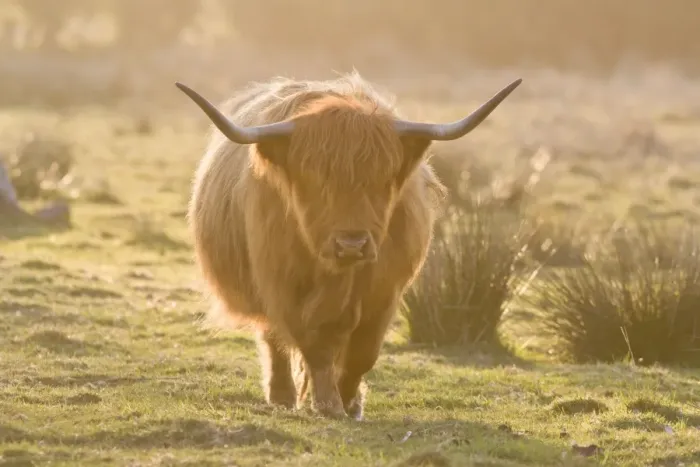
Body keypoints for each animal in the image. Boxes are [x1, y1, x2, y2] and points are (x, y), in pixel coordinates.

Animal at [176, 72, 521, 420]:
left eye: (383, 177)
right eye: (314, 178)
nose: (351, 245)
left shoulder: (385, 293)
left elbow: (363, 353)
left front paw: (349, 401)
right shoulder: (286, 290)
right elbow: (316, 346)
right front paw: (328, 404)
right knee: (274, 340)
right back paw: (282, 395)